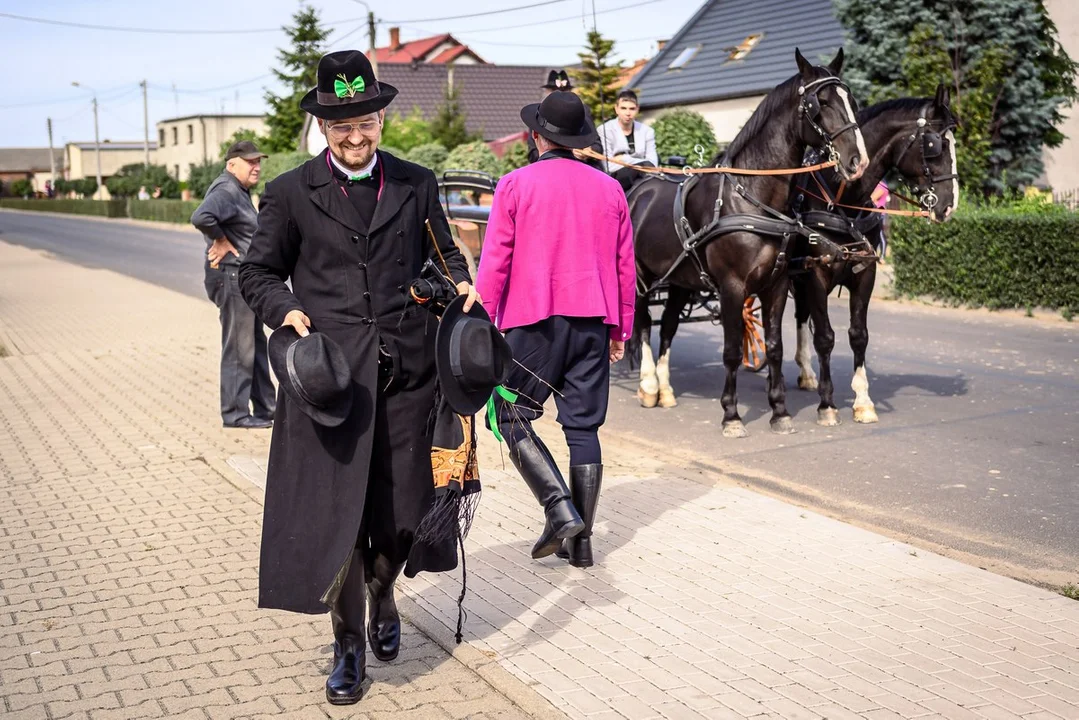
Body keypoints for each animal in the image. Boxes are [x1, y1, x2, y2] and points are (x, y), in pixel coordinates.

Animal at [630, 49, 863, 440]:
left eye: (852, 101)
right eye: (821, 103)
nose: (857, 161)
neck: (751, 198)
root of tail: (638, 189)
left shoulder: (776, 284)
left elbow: (774, 346)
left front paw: (780, 411)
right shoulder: (732, 287)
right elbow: (730, 350)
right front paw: (731, 415)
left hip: (679, 281)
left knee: (669, 326)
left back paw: (665, 389)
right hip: (640, 279)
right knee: (644, 323)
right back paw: (648, 385)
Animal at [794, 84, 962, 425]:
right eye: (934, 145)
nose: (950, 205)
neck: (839, 202)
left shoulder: (865, 274)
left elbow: (858, 335)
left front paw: (863, 401)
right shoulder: (815, 274)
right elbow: (825, 337)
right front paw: (827, 404)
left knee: (801, 316)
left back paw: (806, 372)